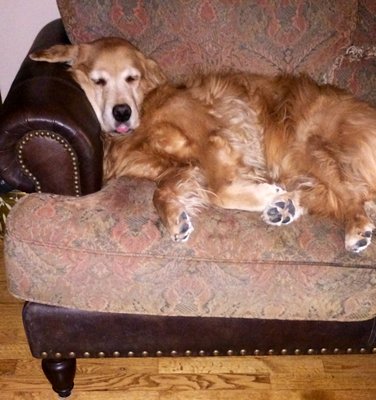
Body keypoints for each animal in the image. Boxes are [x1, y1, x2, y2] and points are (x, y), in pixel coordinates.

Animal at [30, 36, 376, 252]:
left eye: (132, 78)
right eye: (99, 81)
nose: (121, 112)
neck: (147, 107)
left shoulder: (212, 136)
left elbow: (219, 191)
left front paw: (261, 194)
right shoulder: (176, 168)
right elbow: (161, 191)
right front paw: (175, 218)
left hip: (306, 145)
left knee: (353, 193)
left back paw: (355, 229)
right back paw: (284, 207)